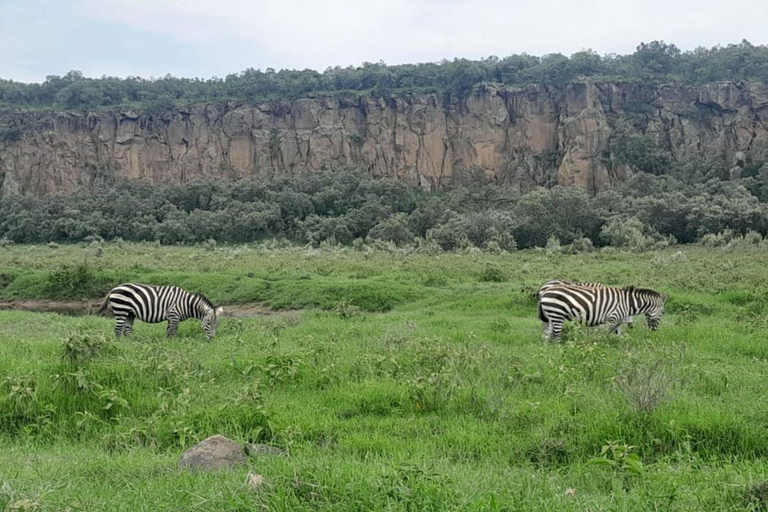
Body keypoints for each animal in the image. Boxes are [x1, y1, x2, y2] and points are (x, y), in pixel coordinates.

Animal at [536, 284, 668, 344]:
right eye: (663, 312)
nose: (654, 331)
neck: (628, 304)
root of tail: (544, 292)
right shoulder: (611, 319)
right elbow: (603, 336)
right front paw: (600, 348)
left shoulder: (618, 322)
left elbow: (618, 336)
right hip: (557, 314)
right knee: (556, 335)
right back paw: (559, 351)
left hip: (552, 316)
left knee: (547, 334)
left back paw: (547, 352)